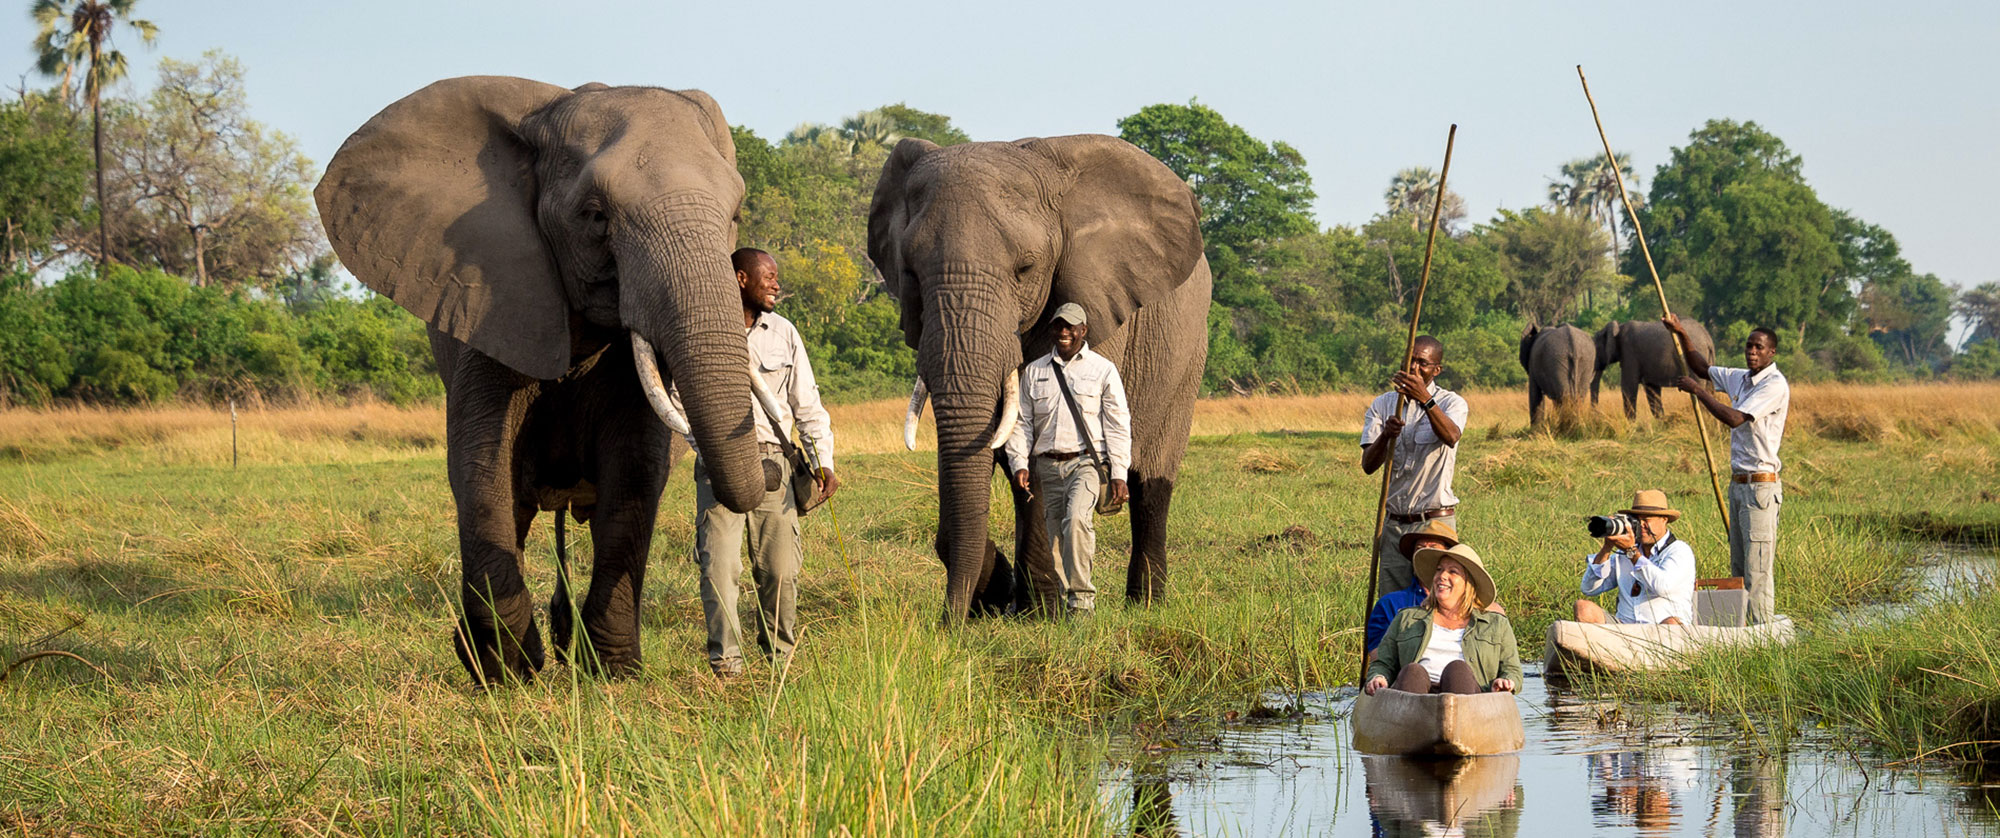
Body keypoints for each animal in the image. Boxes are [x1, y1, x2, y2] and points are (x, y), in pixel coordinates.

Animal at [314, 75, 772, 684]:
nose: (774, 470)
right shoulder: (491, 301)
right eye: (596, 216)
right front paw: (509, 673)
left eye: (736, 213)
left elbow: (636, 470)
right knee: (516, 507)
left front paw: (614, 673)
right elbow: (480, 467)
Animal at [868, 135, 1208, 620]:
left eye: (1025, 269)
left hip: (1189, 355)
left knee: (1152, 483)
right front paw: (1004, 596)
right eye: (910, 273)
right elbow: (1004, 444)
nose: (949, 622)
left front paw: (1038, 609)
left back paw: (1145, 603)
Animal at [1592, 318, 1720, 420]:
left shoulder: (1629, 353)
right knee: (1709, 390)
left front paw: (1631, 425)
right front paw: (1661, 422)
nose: (1597, 417)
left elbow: (1628, 386)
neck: (1618, 327)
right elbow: (1652, 390)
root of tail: (1708, 339)